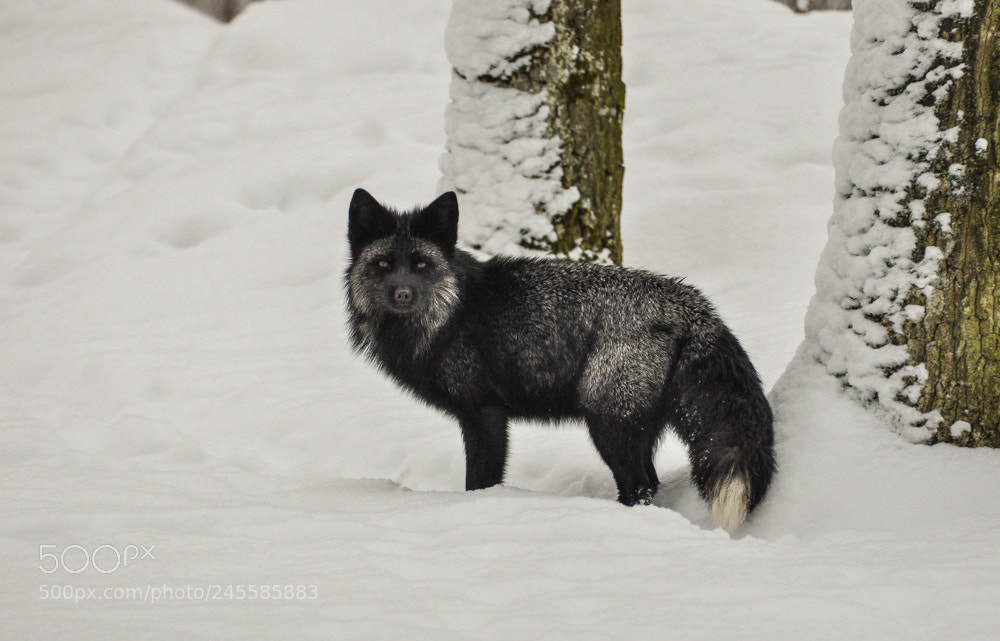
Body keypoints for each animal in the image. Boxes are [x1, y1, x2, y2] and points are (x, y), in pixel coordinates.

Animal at [344, 188, 776, 531]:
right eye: (383, 264)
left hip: (608, 423)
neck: (449, 315)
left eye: (421, 264)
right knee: (648, 484)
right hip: (636, 425)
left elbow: (479, 481)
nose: (403, 294)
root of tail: (691, 304)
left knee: (639, 486)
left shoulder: (483, 413)